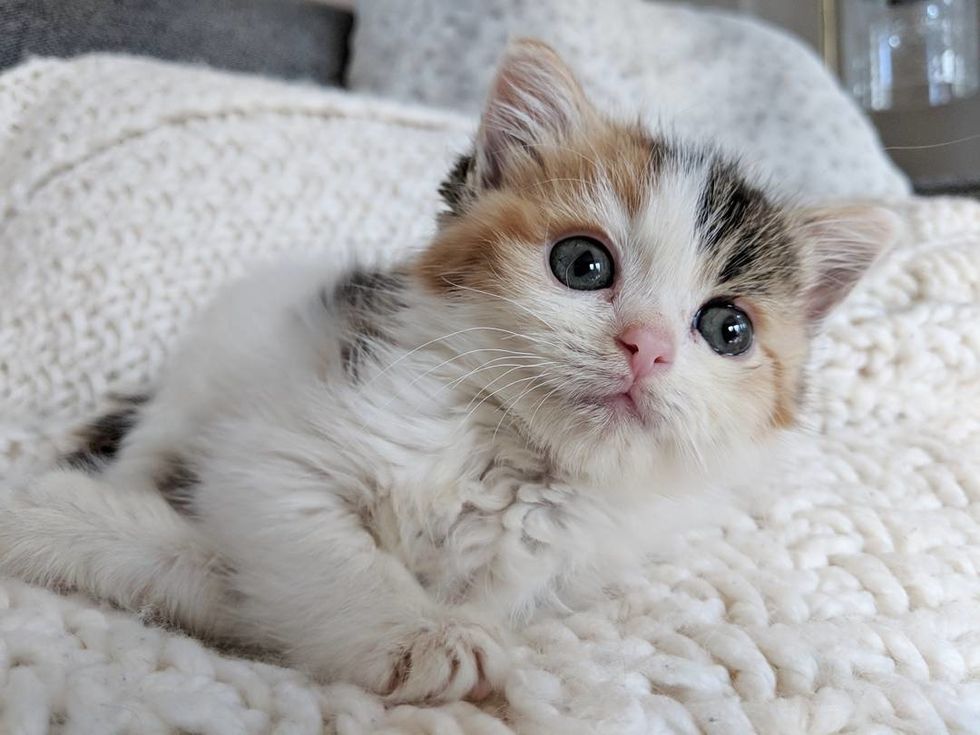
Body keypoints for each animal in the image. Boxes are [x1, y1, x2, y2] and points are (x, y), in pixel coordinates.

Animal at [0, 41, 896, 708]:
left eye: (727, 328)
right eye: (582, 263)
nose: (646, 346)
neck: (514, 461)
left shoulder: (551, 573)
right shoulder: (279, 449)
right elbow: (311, 546)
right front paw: (417, 633)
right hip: (210, 364)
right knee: (151, 443)